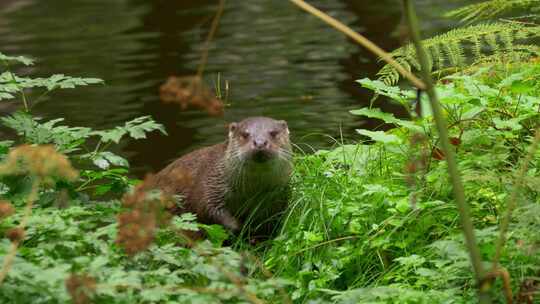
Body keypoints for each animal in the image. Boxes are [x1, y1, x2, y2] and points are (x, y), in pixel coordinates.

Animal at [150, 116, 294, 238]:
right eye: (245, 134)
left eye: (273, 133)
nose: (259, 143)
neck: (249, 193)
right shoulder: (209, 187)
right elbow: (209, 211)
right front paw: (238, 227)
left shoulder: (277, 198)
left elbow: (270, 221)